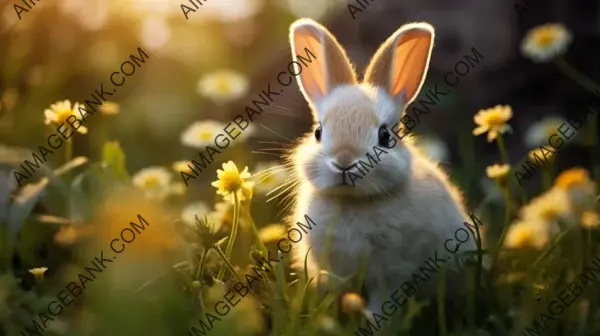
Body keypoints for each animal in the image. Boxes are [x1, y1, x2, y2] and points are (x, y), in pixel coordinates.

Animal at [286, 18, 478, 318]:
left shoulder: (392, 273)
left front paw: (374, 322)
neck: (352, 202)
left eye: (385, 136)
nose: (344, 161)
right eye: (318, 132)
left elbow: (383, 302)